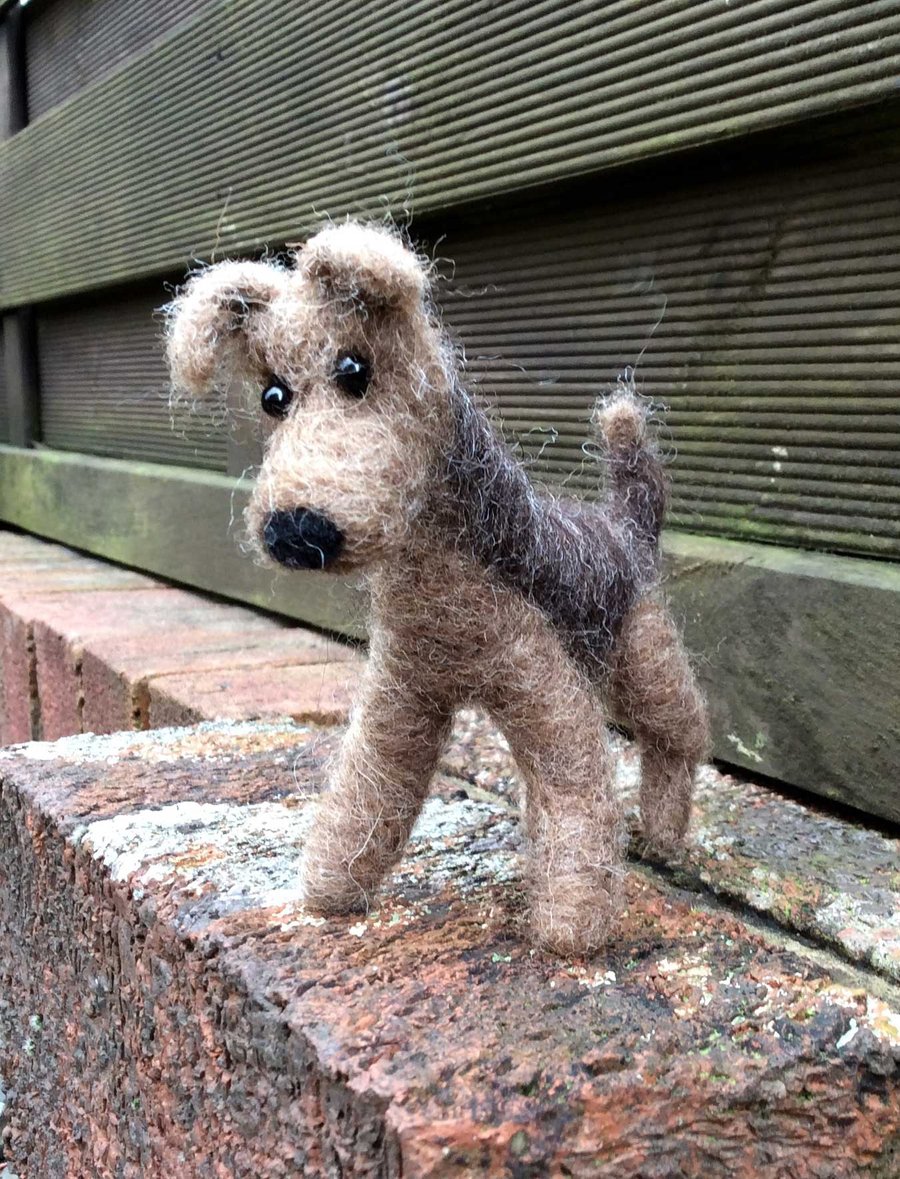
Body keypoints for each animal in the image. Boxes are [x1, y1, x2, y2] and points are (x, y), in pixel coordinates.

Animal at [165, 222, 707, 957]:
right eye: (273, 396)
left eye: (354, 369)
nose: (295, 529)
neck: (437, 589)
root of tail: (628, 521)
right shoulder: (405, 690)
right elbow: (369, 793)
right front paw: (331, 887)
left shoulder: (543, 686)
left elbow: (576, 796)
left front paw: (571, 925)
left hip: (644, 657)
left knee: (681, 737)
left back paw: (665, 832)